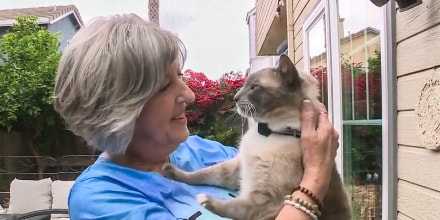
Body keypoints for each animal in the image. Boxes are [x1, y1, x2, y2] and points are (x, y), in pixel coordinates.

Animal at [162, 53, 350, 220]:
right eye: (245, 85)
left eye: (254, 87)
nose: (235, 98)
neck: (268, 133)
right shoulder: (236, 168)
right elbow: (201, 174)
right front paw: (171, 172)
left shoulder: (268, 200)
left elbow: (236, 206)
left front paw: (206, 200)